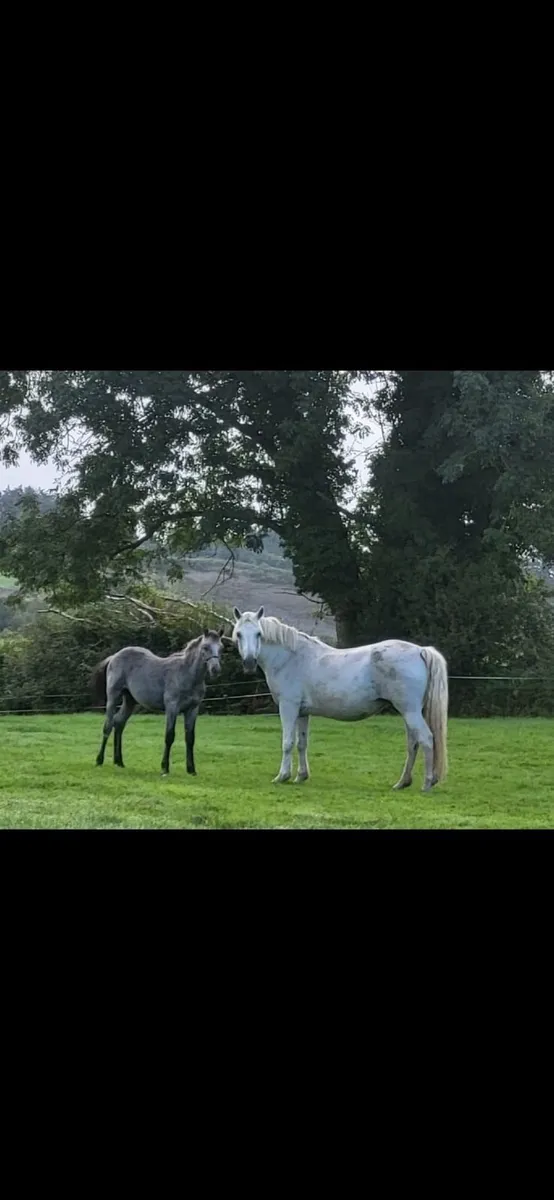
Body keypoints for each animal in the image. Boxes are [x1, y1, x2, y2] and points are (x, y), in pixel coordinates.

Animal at [91, 628, 225, 776]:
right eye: (205, 647)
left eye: (221, 648)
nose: (215, 669)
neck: (186, 674)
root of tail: (114, 656)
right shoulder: (172, 707)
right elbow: (169, 736)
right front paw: (164, 768)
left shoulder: (192, 709)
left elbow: (190, 738)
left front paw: (191, 770)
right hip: (113, 697)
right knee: (108, 725)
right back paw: (99, 760)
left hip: (130, 701)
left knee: (119, 723)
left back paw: (119, 762)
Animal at [231, 607, 448, 792]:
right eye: (239, 634)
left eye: (259, 634)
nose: (249, 663)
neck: (290, 658)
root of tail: (420, 650)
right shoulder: (302, 713)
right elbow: (302, 743)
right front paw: (301, 776)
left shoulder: (288, 708)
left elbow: (287, 742)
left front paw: (282, 776)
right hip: (408, 712)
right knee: (413, 743)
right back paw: (402, 782)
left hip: (410, 711)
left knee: (426, 739)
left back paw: (427, 784)